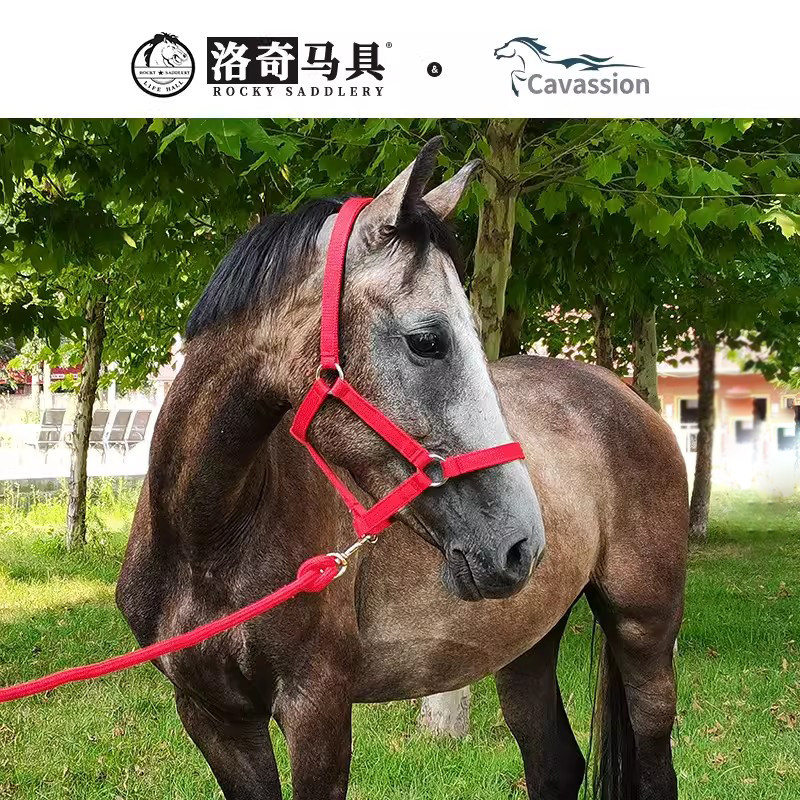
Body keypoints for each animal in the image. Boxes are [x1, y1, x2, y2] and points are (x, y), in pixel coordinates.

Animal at [117, 137, 688, 800]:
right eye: (426, 340)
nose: (521, 542)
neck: (209, 537)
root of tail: (624, 395)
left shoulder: (318, 708)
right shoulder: (214, 717)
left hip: (644, 631)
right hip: (528, 640)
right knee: (554, 761)